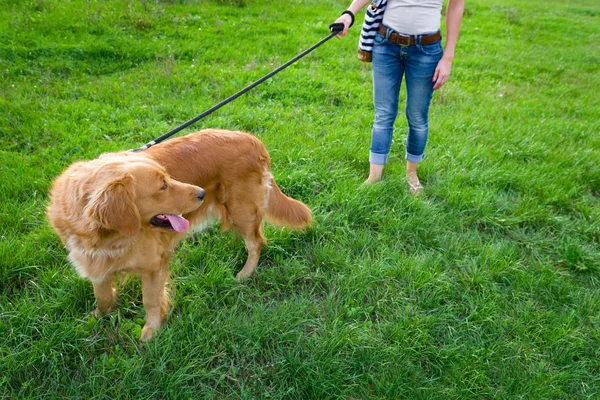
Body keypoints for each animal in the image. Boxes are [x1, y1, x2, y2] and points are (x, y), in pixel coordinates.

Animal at [48, 129, 312, 340]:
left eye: (168, 178)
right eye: (163, 186)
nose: (202, 193)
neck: (109, 237)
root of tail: (251, 138)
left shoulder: (154, 265)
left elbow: (151, 300)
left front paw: (151, 330)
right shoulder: (96, 265)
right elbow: (102, 298)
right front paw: (95, 318)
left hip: (242, 210)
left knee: (256, 242)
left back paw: (245, 272)